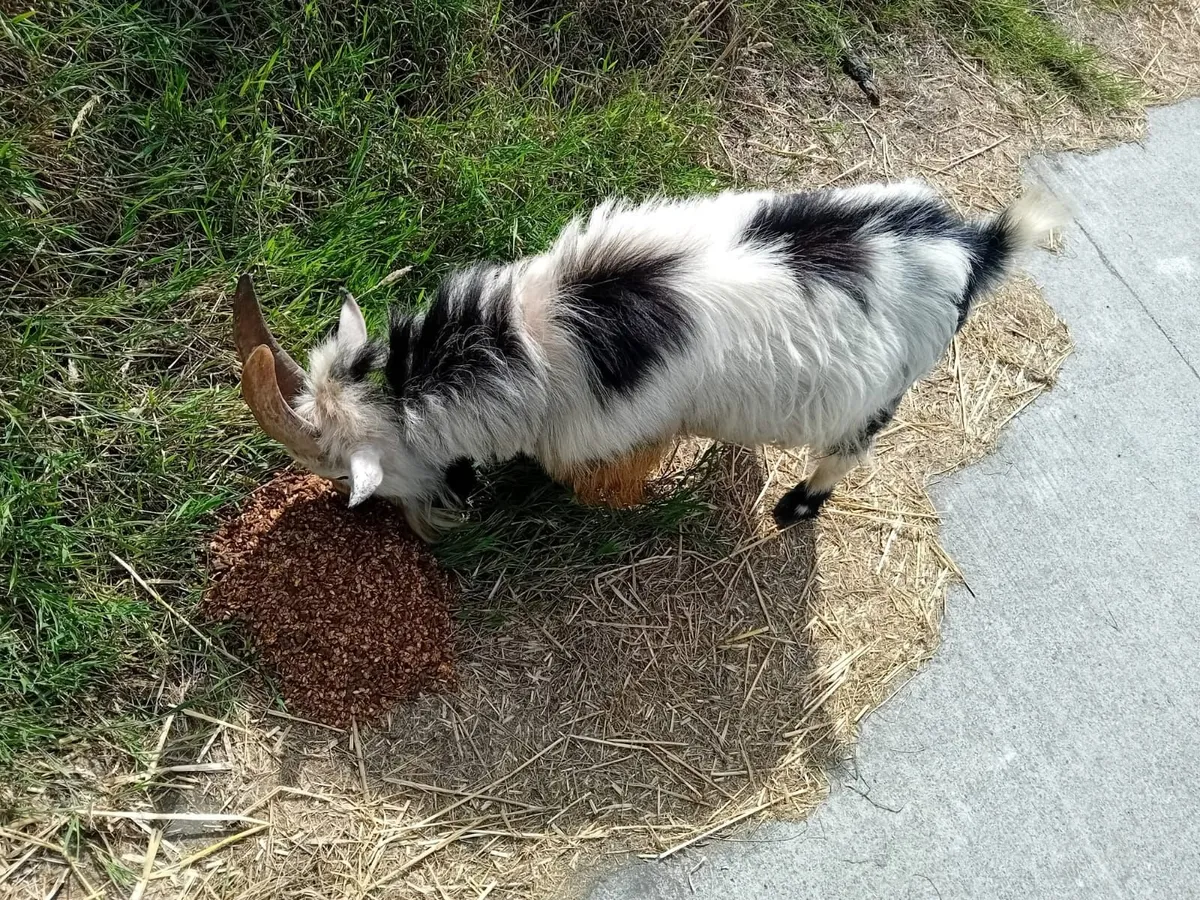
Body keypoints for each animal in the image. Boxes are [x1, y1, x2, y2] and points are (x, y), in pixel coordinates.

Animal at [234, 179, 1066, 540]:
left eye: (344, 477)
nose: (429, 528)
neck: (523, 344)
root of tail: (971, 245)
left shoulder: (611, 432)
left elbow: (601, 482)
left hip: (882, 395)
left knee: (848, 451)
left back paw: (795, 507)